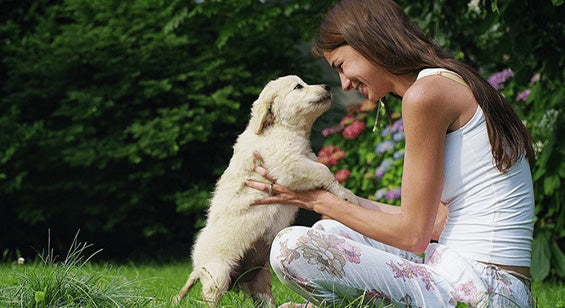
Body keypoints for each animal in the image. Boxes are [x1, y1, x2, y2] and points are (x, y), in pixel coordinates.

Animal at [175, 76, 356, 306]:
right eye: (298, 86)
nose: (326, 86)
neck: (282, 128)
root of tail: (197, 267)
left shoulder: (303, 158)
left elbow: (321, 167)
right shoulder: (288, 163)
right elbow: (323, 170)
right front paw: (346, 194)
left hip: (261, 279)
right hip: (217, 273)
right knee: (209, 297)